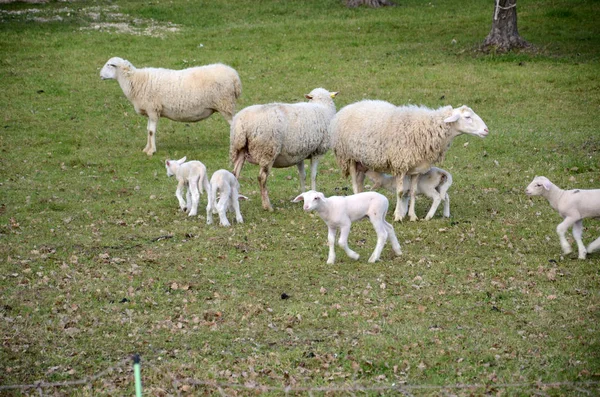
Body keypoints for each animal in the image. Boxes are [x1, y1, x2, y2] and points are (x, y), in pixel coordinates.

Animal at [99, 57, 240, 156]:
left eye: (110, 65)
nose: (100, 75)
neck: (136, 80)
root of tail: (234, 75)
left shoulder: (153, 109)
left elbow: (151, 131)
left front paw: (151, 151)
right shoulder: (150, 111)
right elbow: (148, 130)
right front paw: (147, 148)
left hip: (225, 104)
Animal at [330, 100, 490, 221]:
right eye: (467, 117)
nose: (486, 130)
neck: (427, 128)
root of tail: (348, 107)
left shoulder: (416, 170)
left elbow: (412, 192)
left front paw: (412, 216)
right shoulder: (400, 165)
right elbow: (400, 192)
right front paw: (398, 216)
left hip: (362, 161)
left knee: (360, 182)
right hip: (349, 157)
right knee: (354, 183)